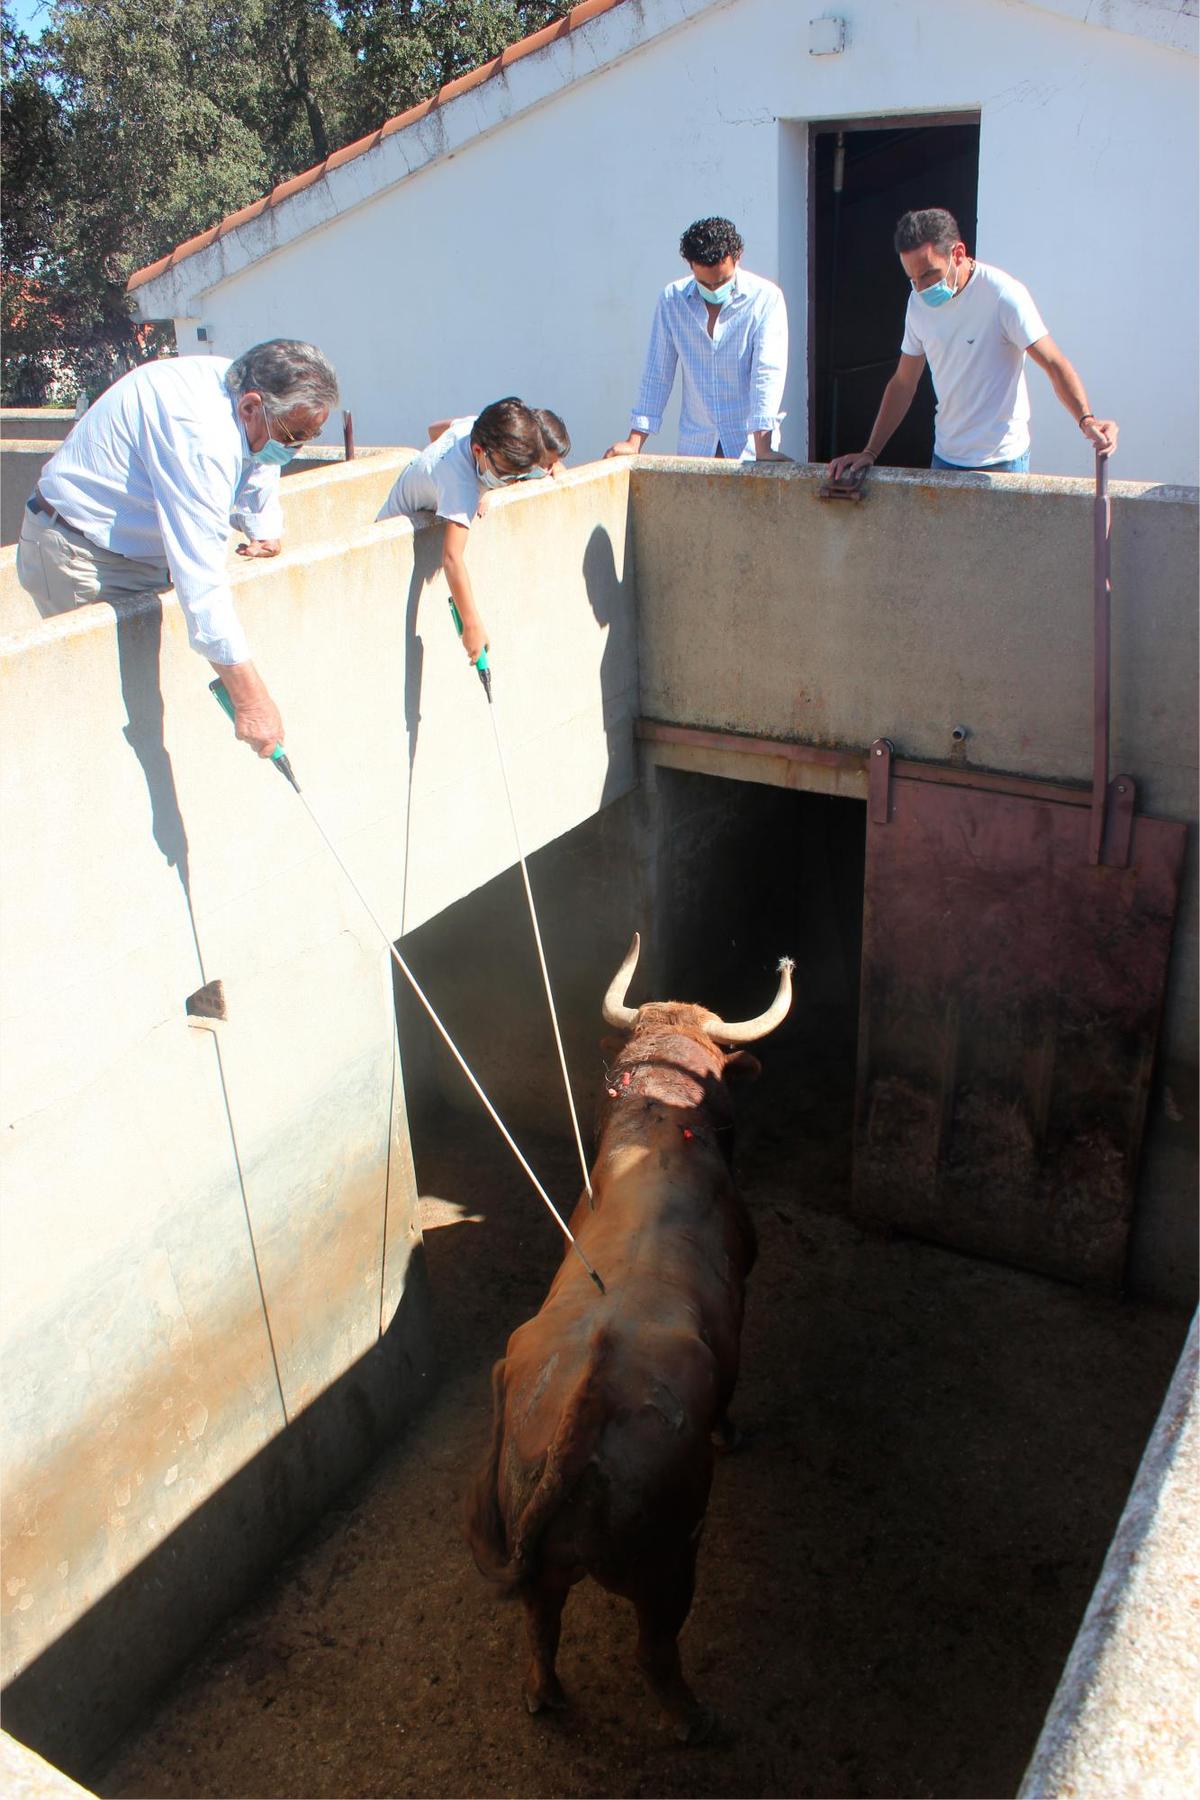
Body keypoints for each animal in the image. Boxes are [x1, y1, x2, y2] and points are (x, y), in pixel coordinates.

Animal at [464, 943, 791, 1742]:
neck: (656, 1124)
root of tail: (589, 1394)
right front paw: (734, 1434)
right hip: (669, 1562)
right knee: (654, 1650)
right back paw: (696, 1720)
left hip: (539, 1554)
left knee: (541, 1623)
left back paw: (544, 1694)